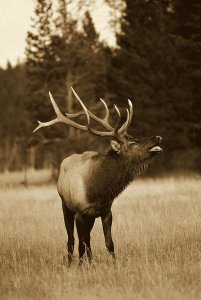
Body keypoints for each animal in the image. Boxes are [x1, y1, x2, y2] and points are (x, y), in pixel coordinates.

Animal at [33, 88, 163, 264]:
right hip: (65, 206)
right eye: (132, 143)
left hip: (90, 217)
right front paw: (81, 266)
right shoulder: (80, 212)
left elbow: (109, 243)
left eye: (133, 137)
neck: (98, 192)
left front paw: (114, 264)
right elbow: (81, 244)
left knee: (86, 240)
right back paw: (70, 262)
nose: (157, 137)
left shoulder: (105, 211)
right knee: (72, 239)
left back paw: (89, 261)